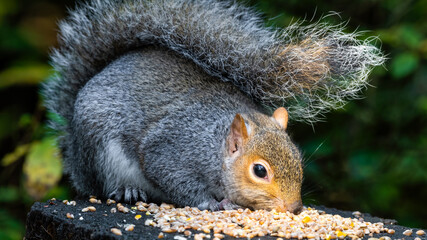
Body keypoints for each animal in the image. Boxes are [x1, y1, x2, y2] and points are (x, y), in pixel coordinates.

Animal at [43, 0, 384, 214]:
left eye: (299, 161)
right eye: (259, 171)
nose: (294, 208)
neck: (216, 147)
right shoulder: (173, 149)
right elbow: (172, 177)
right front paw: (214, 204)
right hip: (99, 152)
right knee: (101, 186)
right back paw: (127, 190)